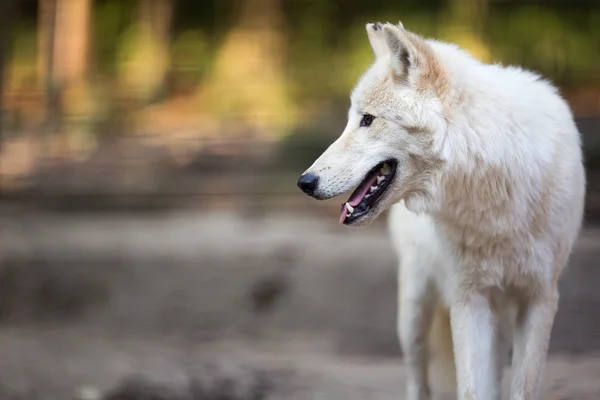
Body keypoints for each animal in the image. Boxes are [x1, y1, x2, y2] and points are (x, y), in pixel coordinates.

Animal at [298, 22, 584, 400]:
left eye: (367, 119)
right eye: (352, 120)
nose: (304, 181)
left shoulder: (539, 298)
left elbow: (521, 387)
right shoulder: (468, 298)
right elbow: (471, 389)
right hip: (414, 311)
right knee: (418, 380)